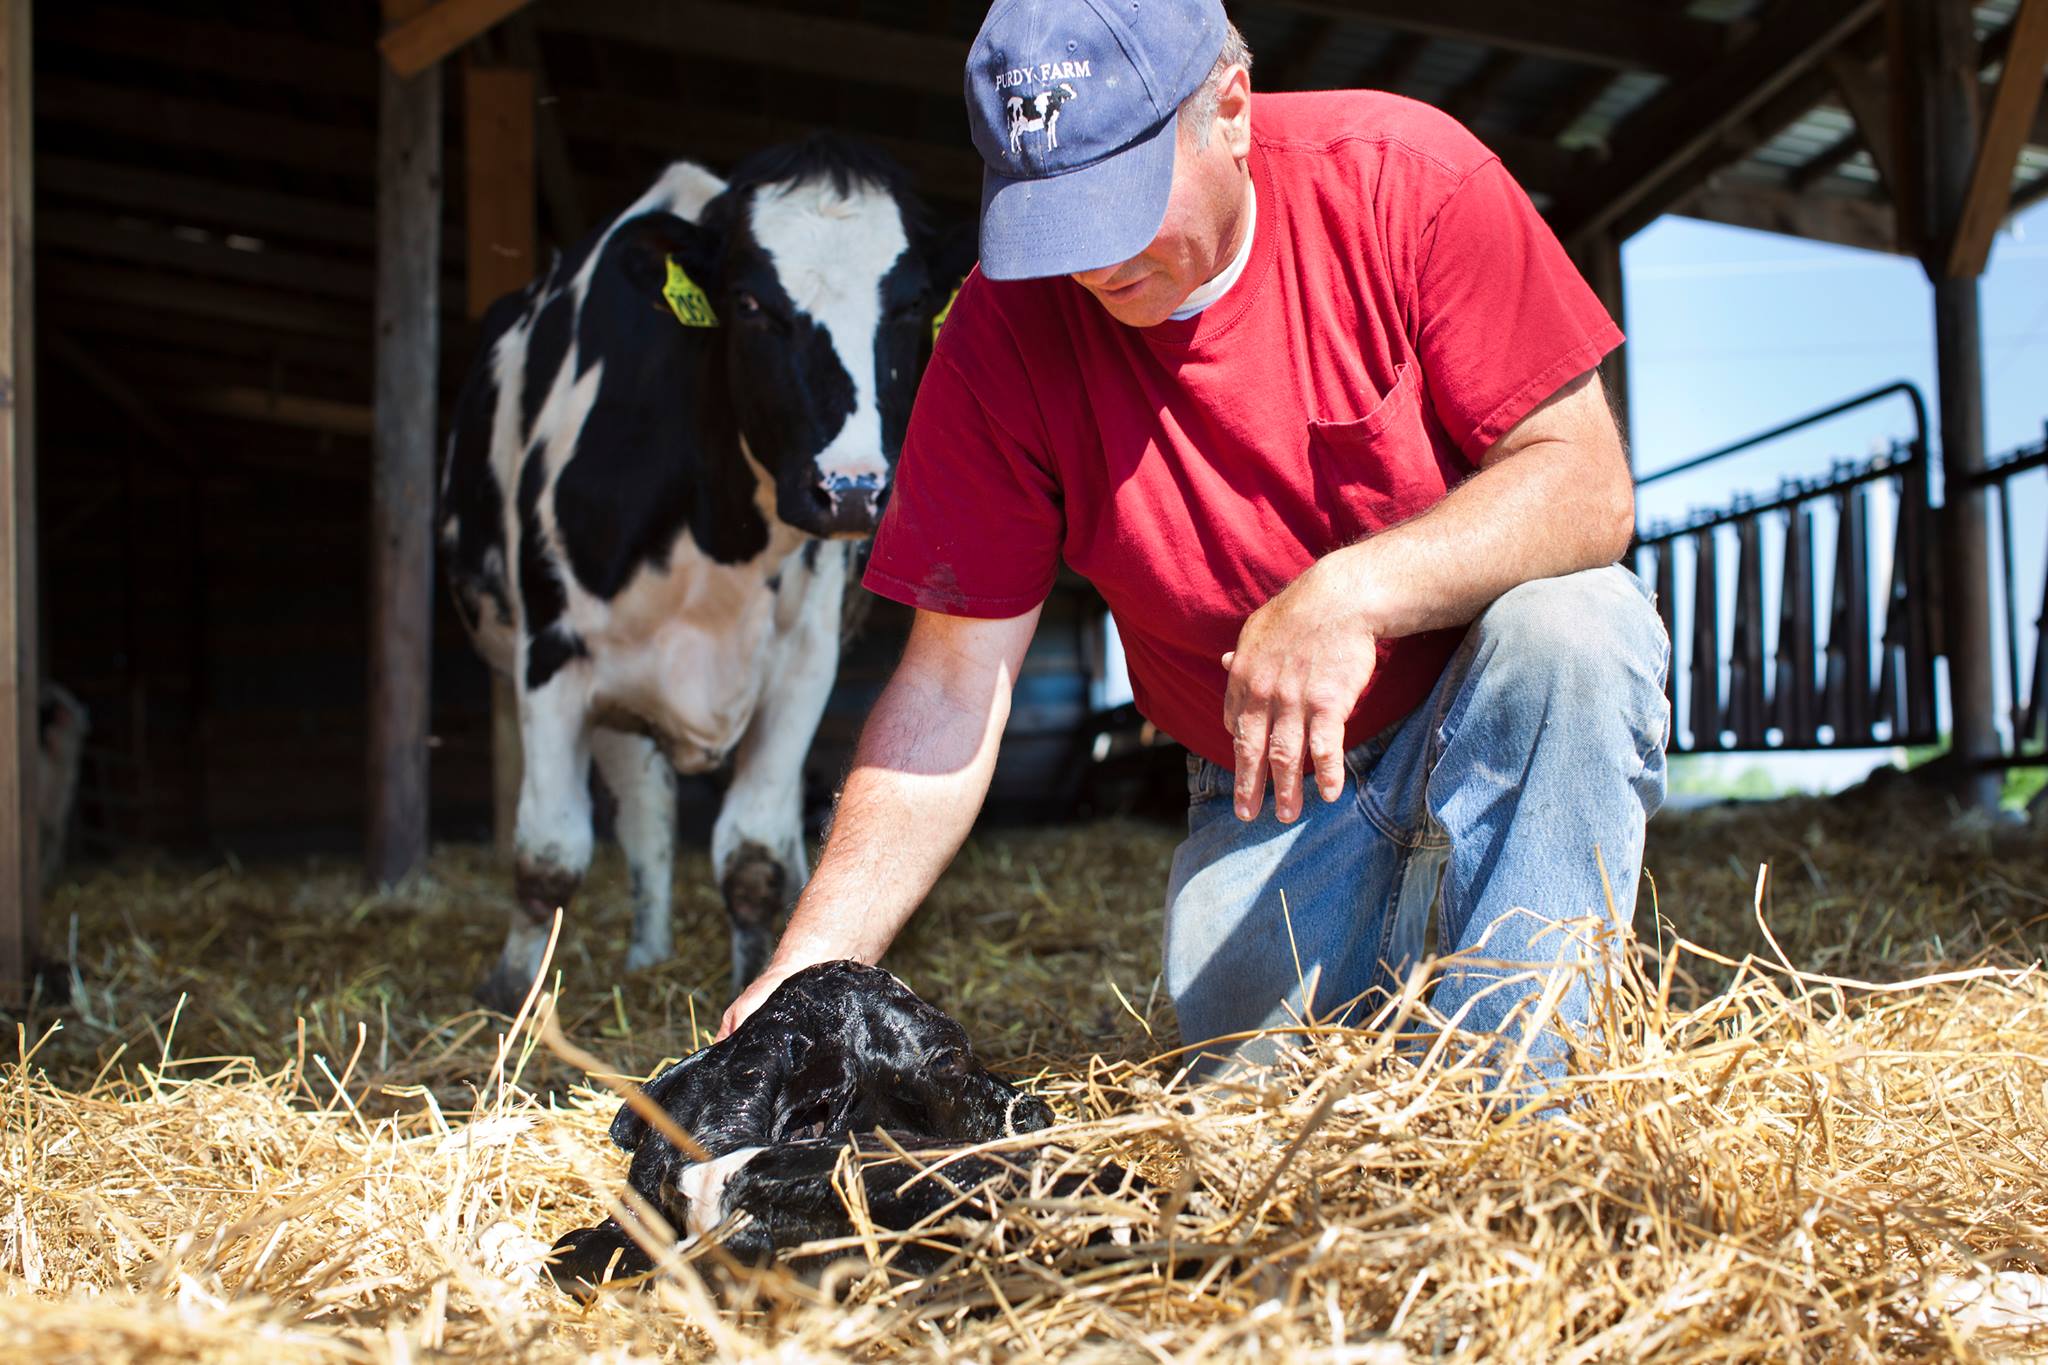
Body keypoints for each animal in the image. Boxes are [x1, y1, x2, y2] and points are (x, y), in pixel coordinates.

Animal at [440, 141, 950, 1015]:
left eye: (912, 302)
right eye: (749, 303)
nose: (852, 489)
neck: (719, 541)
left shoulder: (805, 663)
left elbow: (752, 853)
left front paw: (759, 977)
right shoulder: (551, 656)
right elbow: (549, 852)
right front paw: (511, 994)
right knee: (642, 814)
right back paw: (645, 951)